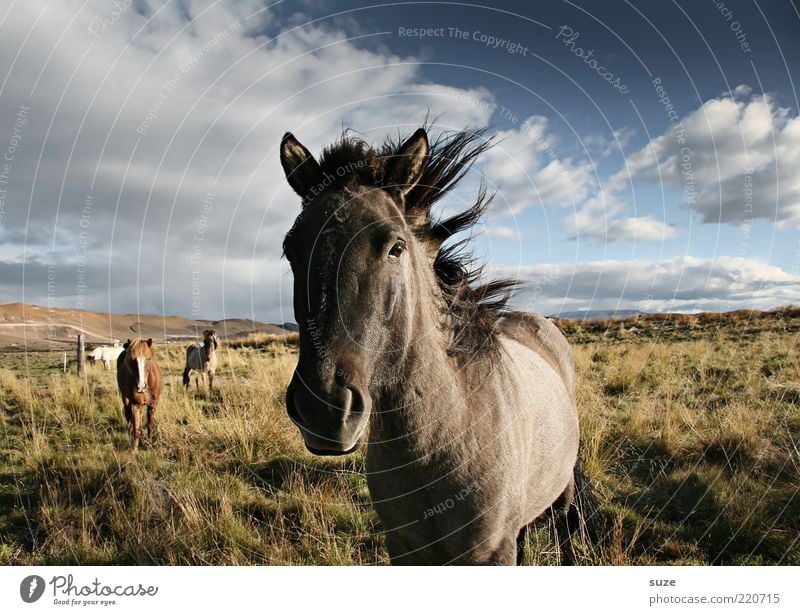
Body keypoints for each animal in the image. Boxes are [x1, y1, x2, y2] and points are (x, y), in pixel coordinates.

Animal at [278, 127, 592, 564]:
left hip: (561, 495)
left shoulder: (493, 552)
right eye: (291, 249)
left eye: (396, 247)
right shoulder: (403, 549)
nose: (322, 410)